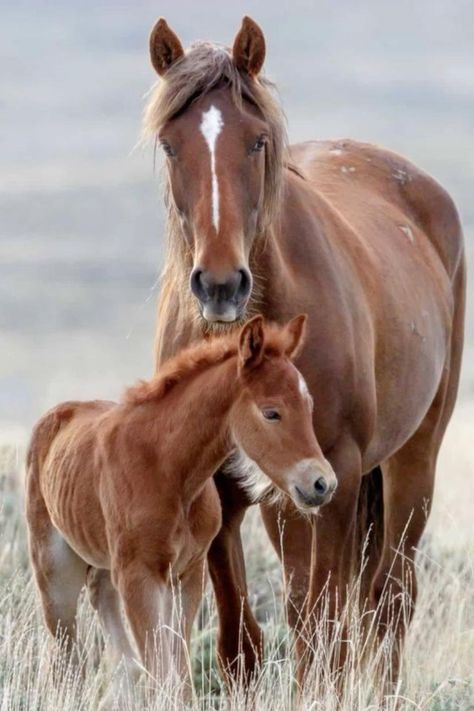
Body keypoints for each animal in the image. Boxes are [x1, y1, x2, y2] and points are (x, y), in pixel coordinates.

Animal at [26, 318, 336, 708]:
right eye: (271, 412)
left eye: (308, 406)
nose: (322, 484)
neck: (169, 469)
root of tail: (56, 415)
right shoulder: (140, 575)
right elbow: (161, 671)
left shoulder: (187, 575)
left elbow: (179, 675)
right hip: (55, 573)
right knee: (67, 653)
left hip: (105, 564)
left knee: (108, 619)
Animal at [143, 15, 464, 684]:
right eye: (169, 143)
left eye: (258, 141)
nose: (220, 285)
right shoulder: (224, 486)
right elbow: (243, 638)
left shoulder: (335, 472)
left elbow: (325, 628)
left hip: (409, 463)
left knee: (388, 597)